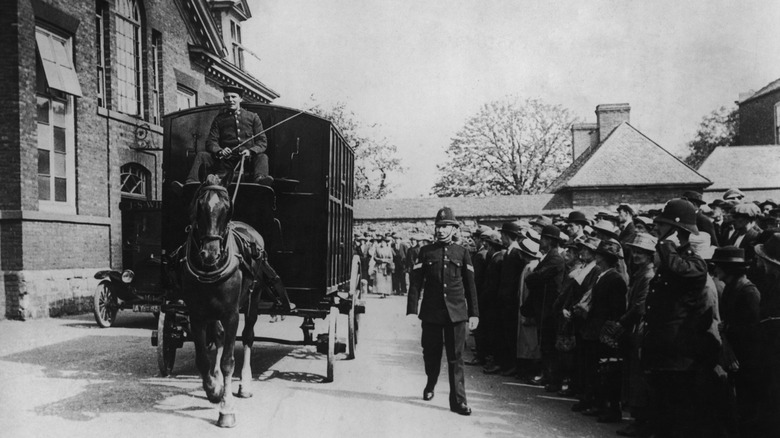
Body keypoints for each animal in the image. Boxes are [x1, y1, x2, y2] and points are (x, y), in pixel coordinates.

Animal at [179, 175, 274, 428]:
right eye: (199, 205)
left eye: (226, 208)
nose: (210, 254)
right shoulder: (196, 314)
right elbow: (203, 359)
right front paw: (214, 388)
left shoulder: (231, 314)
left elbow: (228, 361)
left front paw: (226, 409)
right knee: (219, 336)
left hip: (254, 297)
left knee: (248, 335)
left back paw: (245, 384)